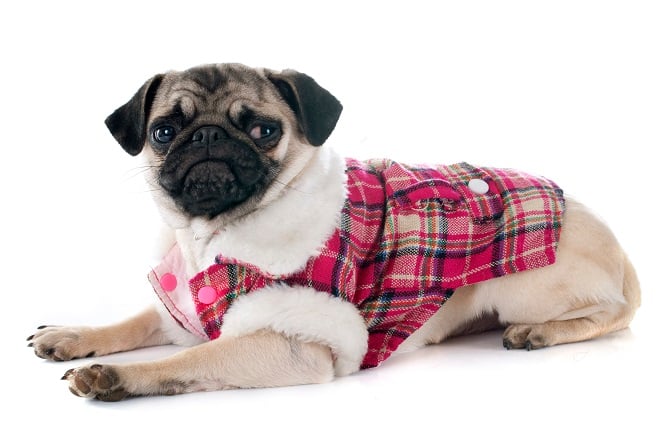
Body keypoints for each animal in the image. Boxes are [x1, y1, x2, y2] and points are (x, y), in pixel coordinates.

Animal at [27, 64, 640, 400]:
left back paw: (540, 333)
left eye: (263, 130)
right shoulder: (182, 310)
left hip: (526, 289)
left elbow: (187, 363)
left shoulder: (296, 345)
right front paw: (74, 336)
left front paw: (115, 378)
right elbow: (133, 322)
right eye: (163, 131)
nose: (207, 138)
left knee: (611, 314)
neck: (209, 238)